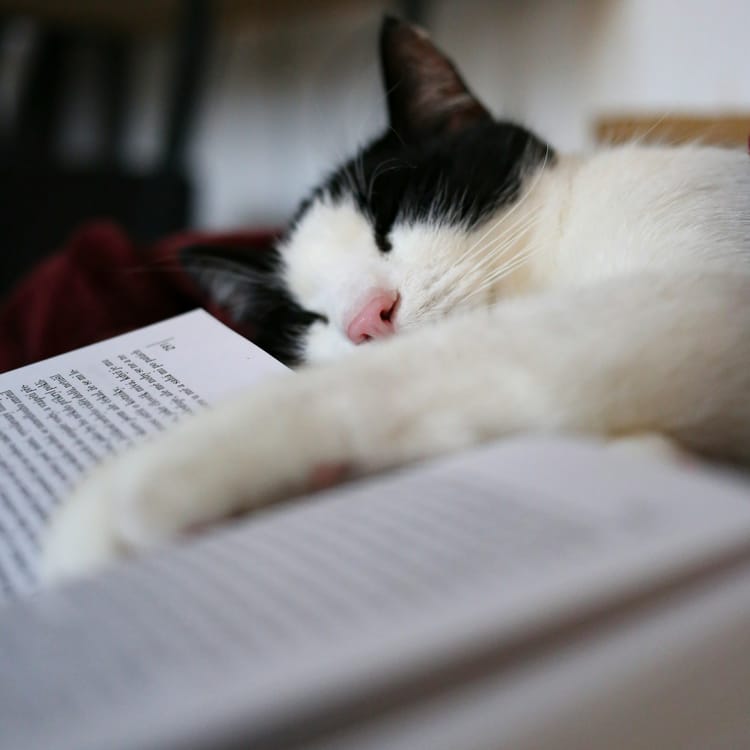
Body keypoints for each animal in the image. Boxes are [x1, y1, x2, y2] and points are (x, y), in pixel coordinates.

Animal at [39, 16, 750, 580]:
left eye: (388, 217)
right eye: (310, 318)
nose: (364, 320)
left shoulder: (685, 302)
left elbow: (428, 370)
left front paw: (135, 487)